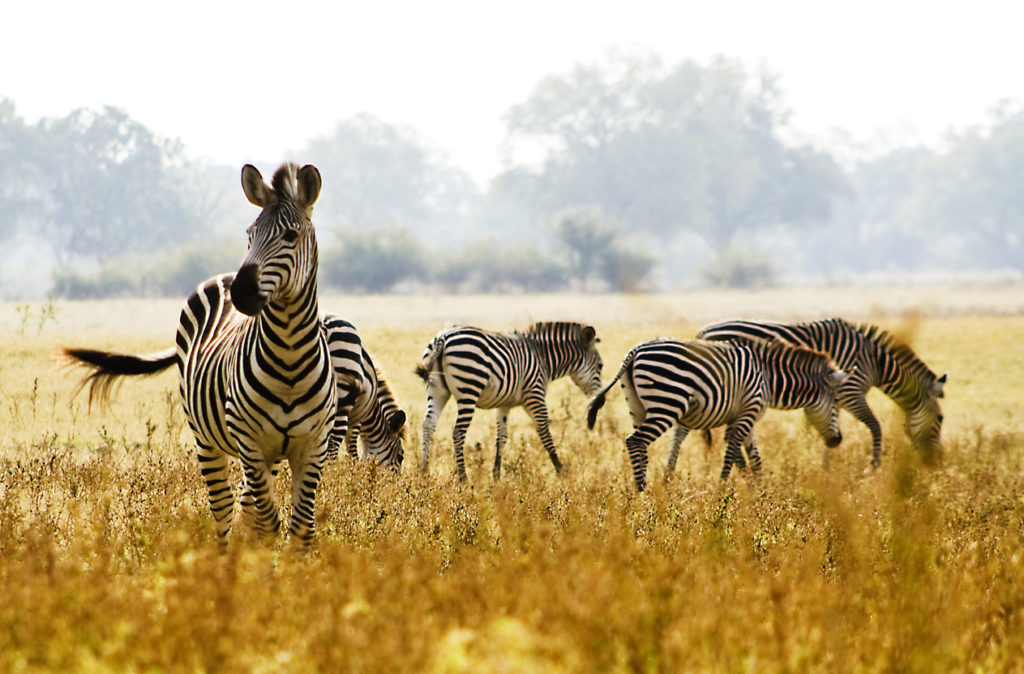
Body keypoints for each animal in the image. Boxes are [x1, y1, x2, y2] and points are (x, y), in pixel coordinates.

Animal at [58, 164, 339, 544]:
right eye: (250, 234)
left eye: (291, 236)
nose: (242, 291)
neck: (290, 357)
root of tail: (222, 276)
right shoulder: (250, 442)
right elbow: (268, 523)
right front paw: (261, 562)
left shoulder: (312, 446)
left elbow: (301, 528)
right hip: (208, 439)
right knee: (223, 510)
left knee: (245, 505)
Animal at [413, 319, 602, 477]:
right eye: (600, 366)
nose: (600, 402)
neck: (543, 357)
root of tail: (443, 337)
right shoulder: (534, 395)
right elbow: (544, 432)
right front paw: (561, 470)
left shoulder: (504, 404)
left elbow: (501, 437)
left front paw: (496, 476)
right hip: (469, 389)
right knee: (458, 432)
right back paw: (463, 478)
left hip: (437, 390)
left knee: (428, 425)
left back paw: (424, 472)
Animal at [589, 335, 843, 487]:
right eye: (836, 404)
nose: (837, 441)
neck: (768, 377)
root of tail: (635, 350)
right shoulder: (747, 411)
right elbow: (733, 451)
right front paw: (723, 489)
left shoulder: (744, 414)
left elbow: (754, 456)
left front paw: (758, 490)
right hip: (667, 402)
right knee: (635, 441)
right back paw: (642, 490)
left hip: (637, 406)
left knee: (640, 446)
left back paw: (640, 493)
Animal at [700, 315, 946, 465]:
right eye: (941, 419)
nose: (936, 462)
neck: (875, 363)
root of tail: (703, 332)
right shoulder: (851, 392)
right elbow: (875, 426)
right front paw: (874, 465)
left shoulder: (835, 398)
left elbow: (831, 428)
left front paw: (826, 468)